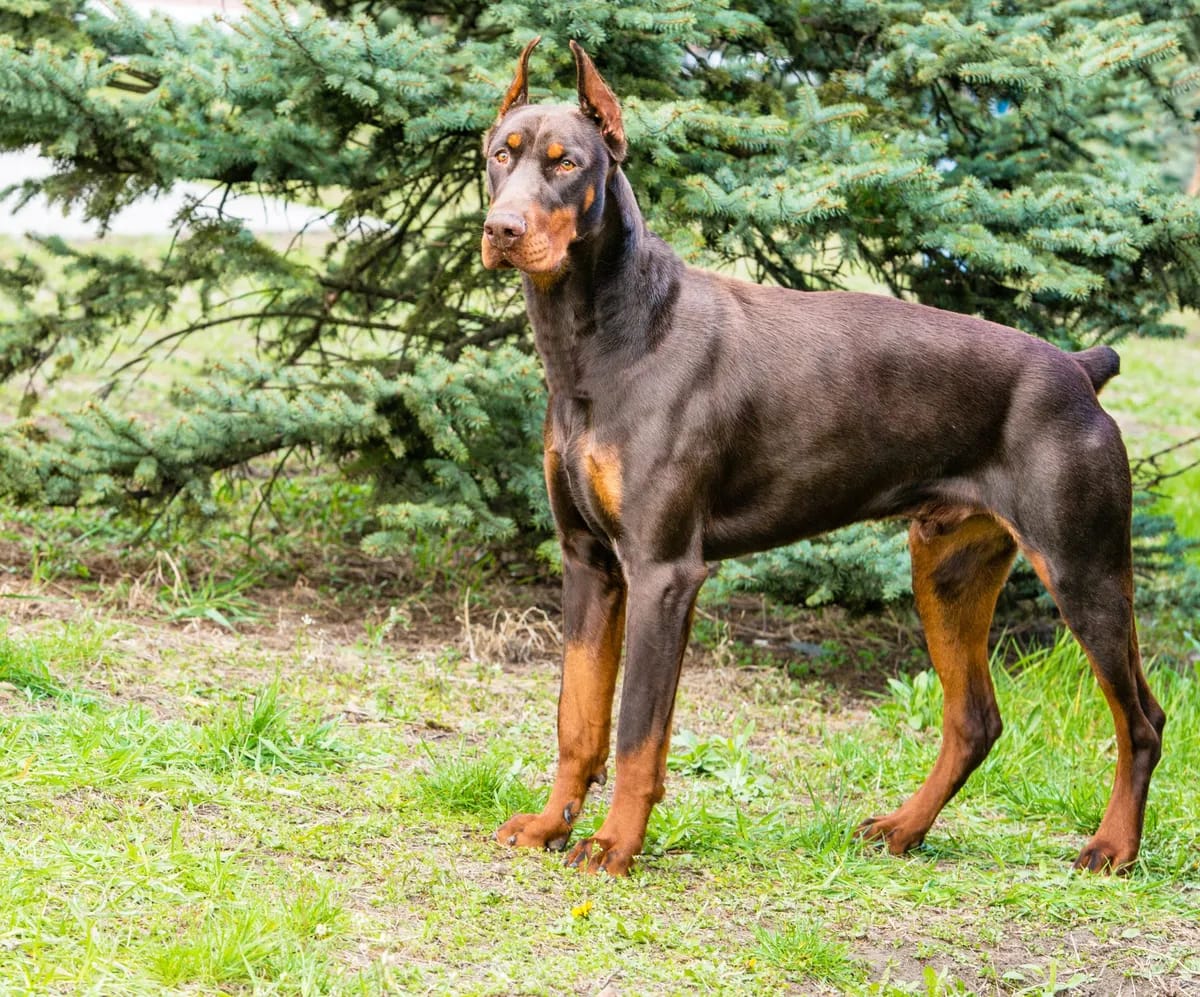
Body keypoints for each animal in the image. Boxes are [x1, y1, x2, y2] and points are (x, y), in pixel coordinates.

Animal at [477, 38, 1161, 878]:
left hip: (1083, 567)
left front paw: (614, 844)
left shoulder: (663, 571)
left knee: (1141, 718)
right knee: (975, 718)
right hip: (948, 565)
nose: (502, 229)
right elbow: (578, 716)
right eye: (498, 155)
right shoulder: (589, 562)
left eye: (566, 162)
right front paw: (550, 824)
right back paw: (904, 827)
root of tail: (1079, 368)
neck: (605, 338)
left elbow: (638, 731)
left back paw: (1113, 845)